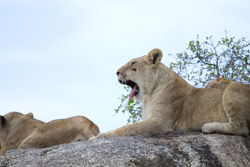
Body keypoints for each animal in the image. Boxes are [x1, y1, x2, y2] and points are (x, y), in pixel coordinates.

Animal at [92, 48, 250, 140]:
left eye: (132, 63)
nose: (117, 72)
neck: (148, 95)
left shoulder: (160, 121)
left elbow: (128, 128)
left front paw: (101, 136)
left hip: (232, 88)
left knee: (242, 128)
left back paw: (208, 126)